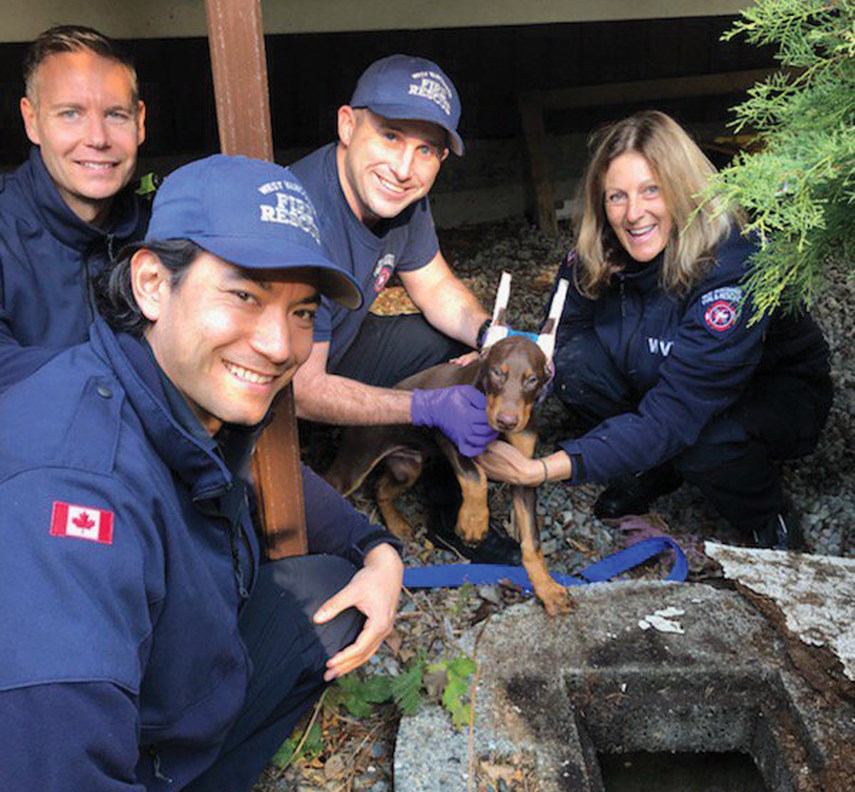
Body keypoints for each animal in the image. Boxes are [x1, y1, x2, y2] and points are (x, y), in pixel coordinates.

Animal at [324, 334, 572, 620]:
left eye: (532, 380)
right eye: (497, 372)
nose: (507, 422)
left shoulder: (524, 472)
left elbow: (532, 542)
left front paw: (548, 590)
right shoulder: (451, 431)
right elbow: (475, 476)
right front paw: (474, 521)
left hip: (409, 467)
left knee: (381, 488)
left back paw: (397, 525)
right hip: (357, 462)